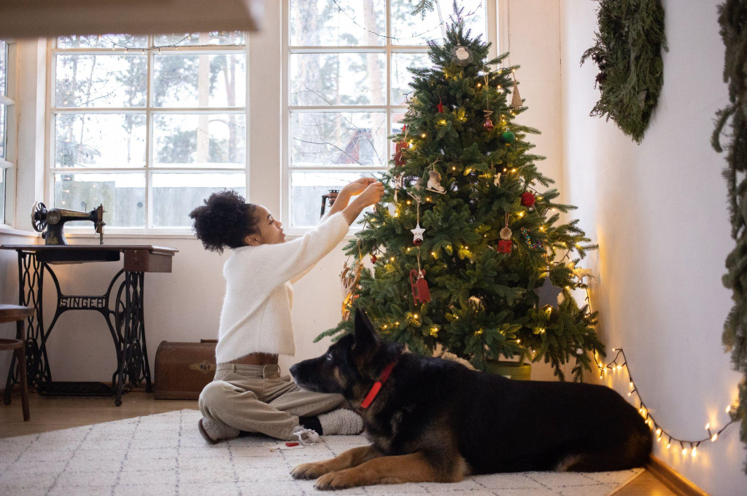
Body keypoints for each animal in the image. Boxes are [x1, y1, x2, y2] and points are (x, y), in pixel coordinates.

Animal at [290, 308, 652, 490]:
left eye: (328, 358)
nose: (291, 368)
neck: (391, 384)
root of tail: (640, 417)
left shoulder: (437, 461)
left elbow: (376, 463)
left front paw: (340, 478)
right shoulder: (394, 446)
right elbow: (350, 453)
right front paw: (317, 465)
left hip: (568, 460)